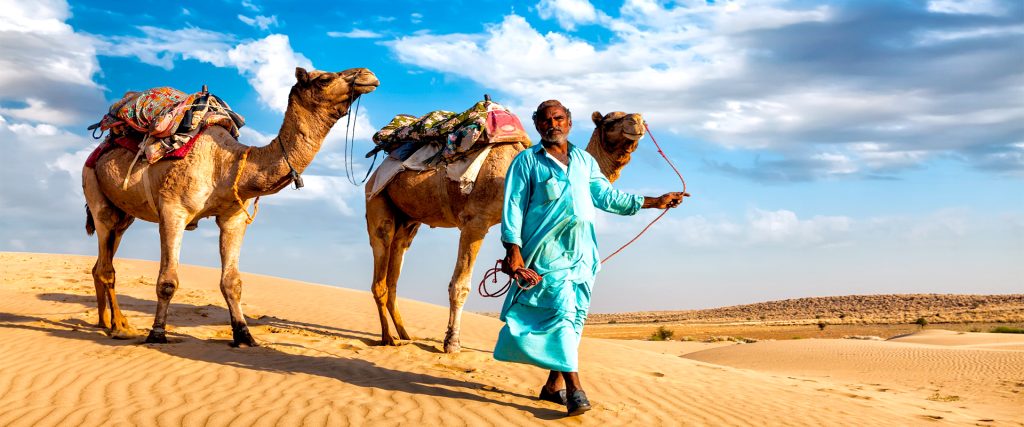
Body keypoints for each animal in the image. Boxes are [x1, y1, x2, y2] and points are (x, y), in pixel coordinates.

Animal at [82, 66, 380, 346]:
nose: (369, 75)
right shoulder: (172, 210)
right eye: (325, 79)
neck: (226, 163)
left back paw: (106, 322)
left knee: (101, 263)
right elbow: (168, 281)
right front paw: (157, 333)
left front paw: (244, 335)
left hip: (124, 215)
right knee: (107, 265)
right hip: (95, 190)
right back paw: (120, 326)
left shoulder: (233, 217)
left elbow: (232, 282)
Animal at [366, 109, 638, 352]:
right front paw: (452, 342)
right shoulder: (475, 221)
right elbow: (460, 285)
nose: (637, 121)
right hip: (377, 199)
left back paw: (404, 334)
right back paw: (388, 338)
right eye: (610, 121)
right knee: (381, 254)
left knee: (396, 266)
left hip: (409, 220)